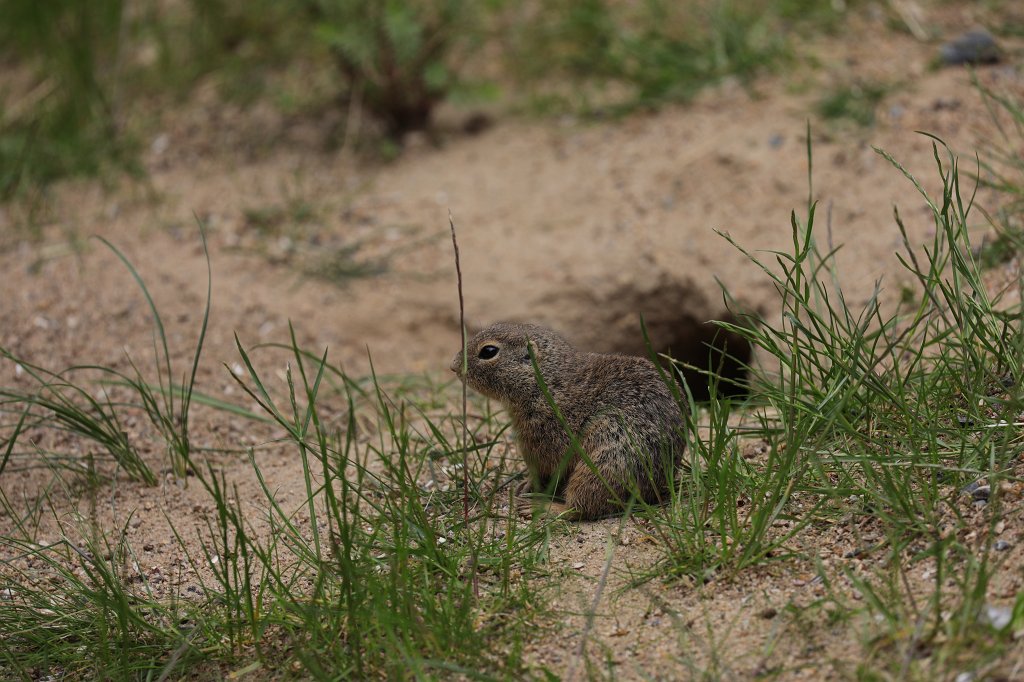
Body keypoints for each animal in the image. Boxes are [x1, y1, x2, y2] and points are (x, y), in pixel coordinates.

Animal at [450, 322, 686, 520]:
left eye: (488, 351)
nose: (453, 366)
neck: (545, 381)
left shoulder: (541, 444)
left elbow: (542, 470)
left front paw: (528, 486)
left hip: (603, 467)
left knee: (580, 509)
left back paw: (543, 508)